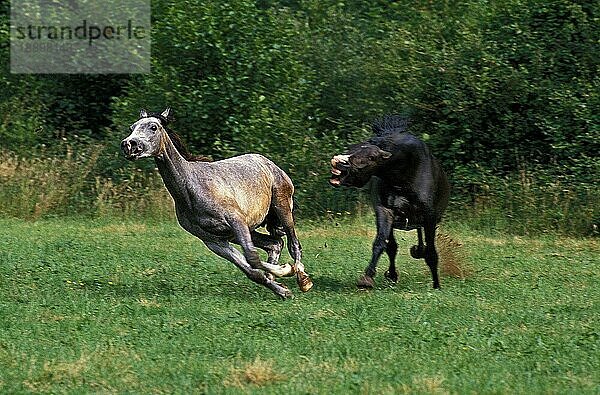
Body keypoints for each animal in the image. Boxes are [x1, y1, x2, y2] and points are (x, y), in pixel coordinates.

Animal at [119, 108, 312, 300]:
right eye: (132, 127)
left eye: (153, 127)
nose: (129, 145)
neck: (191, 188)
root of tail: (268, 163)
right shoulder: (214, 241)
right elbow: (251, 270)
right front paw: (282, 289)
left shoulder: (237, 222)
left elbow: (252, 257)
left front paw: (286, 271)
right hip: (242, 232)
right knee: (275, 244)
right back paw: (274, 276)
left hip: (281, 209)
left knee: (294, 245)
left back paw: (302, 279)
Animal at [330, 116, 448, 290]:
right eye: (351, 148)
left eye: (371, 157)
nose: (339, 163)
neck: (403, 175)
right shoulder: (385, 211)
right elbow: (382, 243)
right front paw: (367, 278)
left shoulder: (429, 217)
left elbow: (432, 252)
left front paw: (436, 285)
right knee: (392, 247)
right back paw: (393, 274)